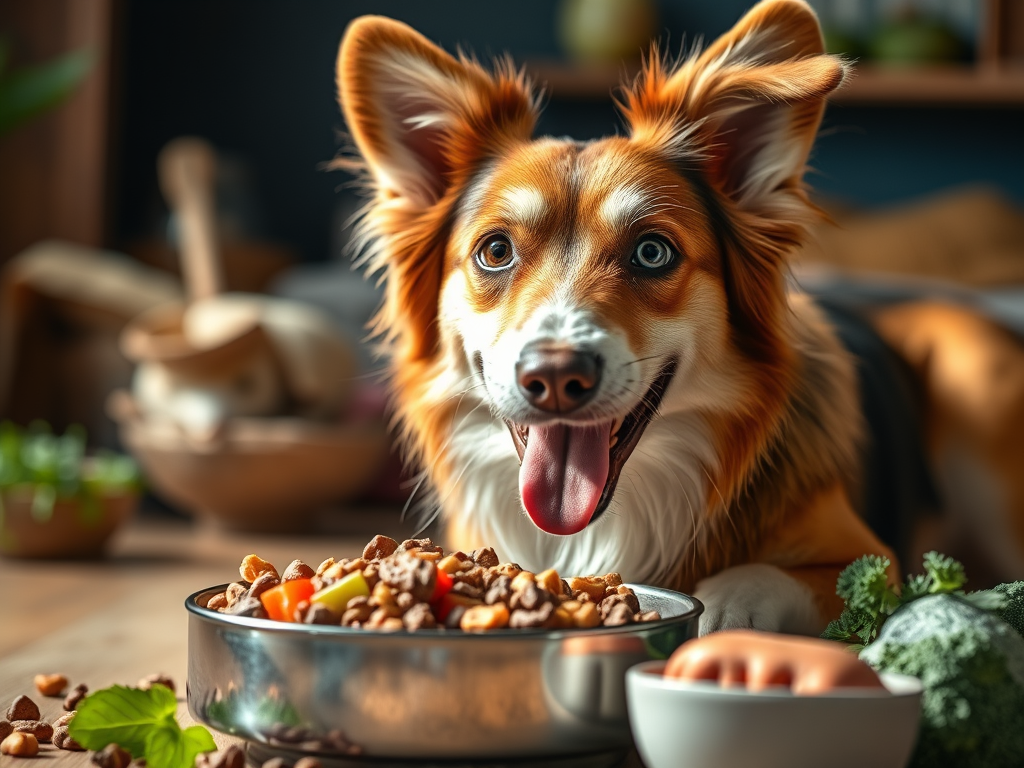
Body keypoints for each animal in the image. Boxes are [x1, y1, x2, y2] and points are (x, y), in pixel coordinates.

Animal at [331, 0, 1024, 634]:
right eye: (495, 251)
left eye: (651, 252)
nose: (554, 377)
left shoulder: (873, 559)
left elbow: (758, 580)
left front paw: (718, 612)